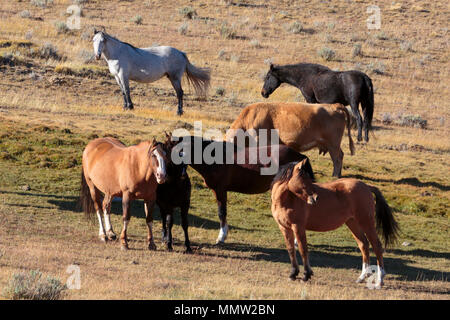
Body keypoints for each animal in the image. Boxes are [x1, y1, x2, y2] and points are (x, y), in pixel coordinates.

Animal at [168, 135, 312, 245]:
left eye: (180, 152)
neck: (215, 158)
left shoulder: (220, 190)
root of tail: (300, 156)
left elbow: (222, 213)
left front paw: (221, 237)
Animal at [268, 159, 400, 288]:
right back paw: (362, 277)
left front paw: (306, 275)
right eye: (303, 178)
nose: (315, 198)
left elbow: (302, 249)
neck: (286, 201)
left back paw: (379, 280)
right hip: (353, 223)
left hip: (366, 222)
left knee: (376, 246)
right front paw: (293, 274)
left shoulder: (298, 227)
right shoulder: (284, 228)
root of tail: (367, 186)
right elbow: (291, 250)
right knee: (364, 245)